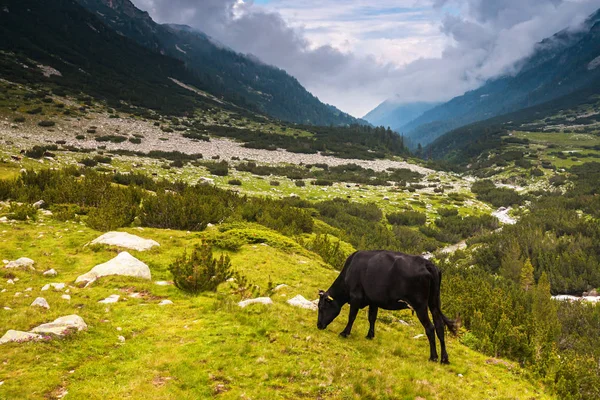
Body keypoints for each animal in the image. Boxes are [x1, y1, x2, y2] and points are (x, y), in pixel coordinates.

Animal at [316, 252, 458, 364]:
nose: (318, 325)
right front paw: (370, 335)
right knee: (439, 326)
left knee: (430, 328)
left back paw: (433, 357)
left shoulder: (356, 296)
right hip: (434, 302)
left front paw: (344, 333)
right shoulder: (373, 300)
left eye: (322, 307)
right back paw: (444, 359)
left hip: (420, 305)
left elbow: (352, 316)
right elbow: (372, 317)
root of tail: (428, 264)